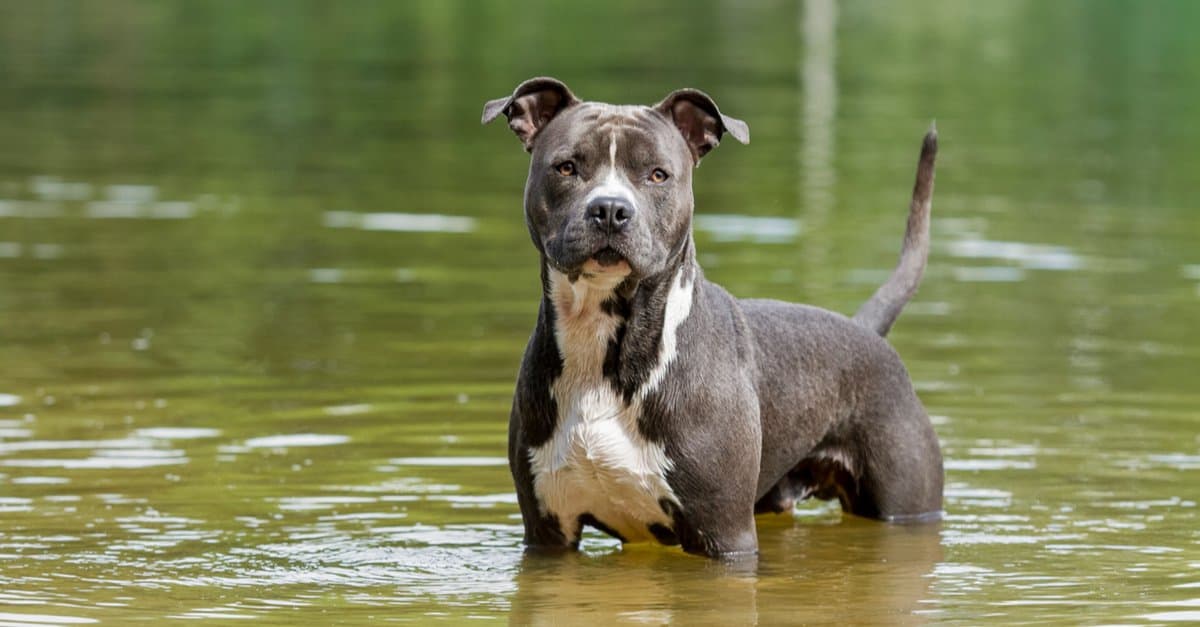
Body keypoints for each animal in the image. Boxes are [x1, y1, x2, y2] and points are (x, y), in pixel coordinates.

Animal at [482, 75, 940, 554]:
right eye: (567, 167)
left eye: (658, 174)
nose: (609, 209)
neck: (605, 342)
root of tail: (865, 331)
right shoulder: (547, 531)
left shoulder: (724, 533)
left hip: (906, 502)